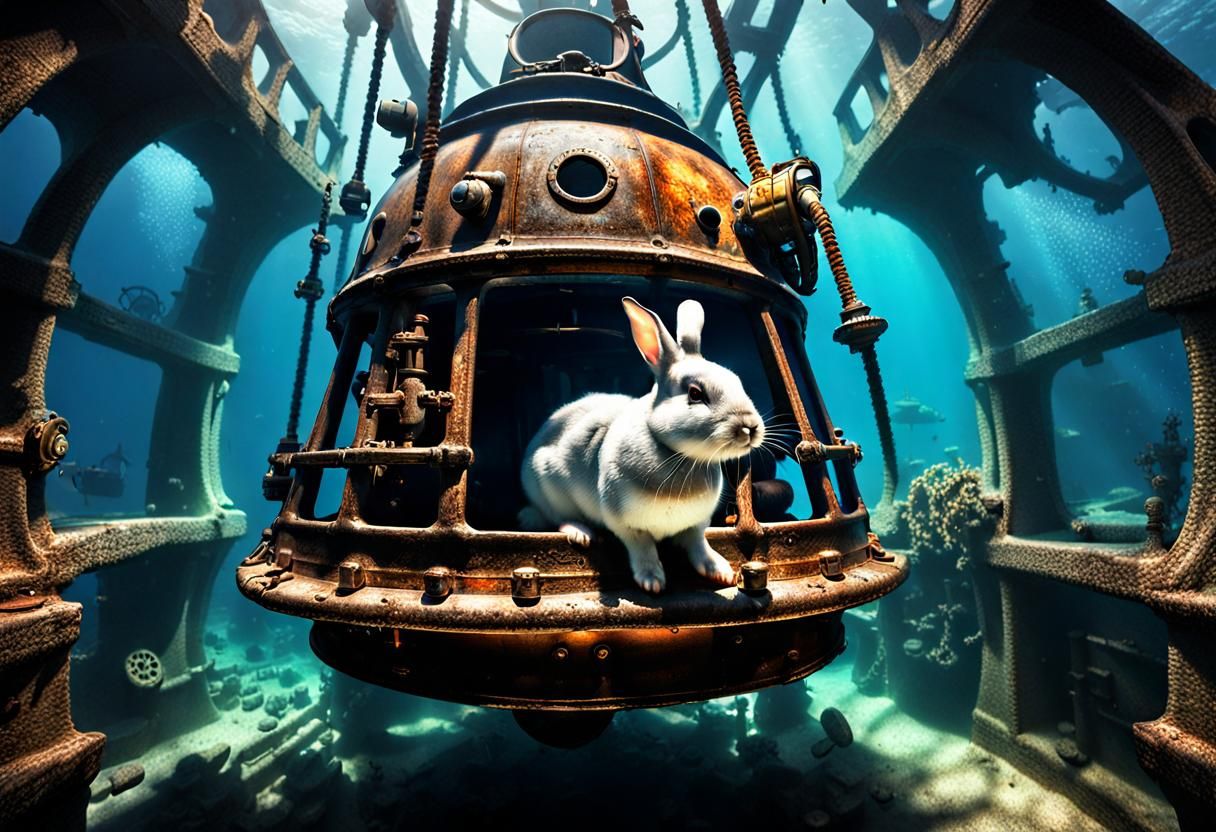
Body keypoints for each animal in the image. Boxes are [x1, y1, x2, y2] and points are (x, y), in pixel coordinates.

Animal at [519, 296, 766, 593]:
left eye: (737, 381)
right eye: (696, 394)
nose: (750, 427)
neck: (680, 456)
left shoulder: (696, 524)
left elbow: (698, 544)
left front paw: (721, 572)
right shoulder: (627, 524)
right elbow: (643, 547)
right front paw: (652, 581)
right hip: (546, 488)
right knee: (557, 518)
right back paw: (581, 533)